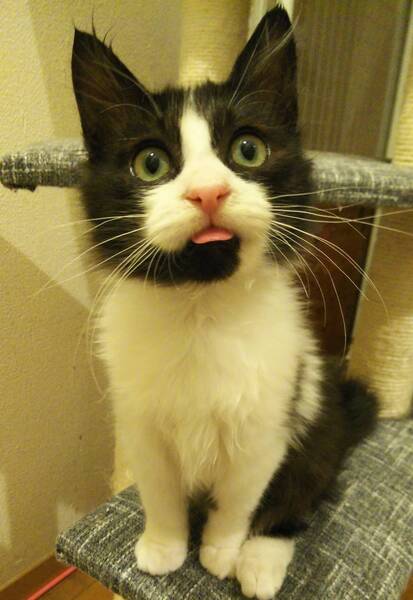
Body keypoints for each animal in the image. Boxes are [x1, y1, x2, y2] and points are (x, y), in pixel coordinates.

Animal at [71, 7, 378, 599]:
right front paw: (164, 548)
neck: (201, 311)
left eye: (248, 150)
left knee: (297, 498)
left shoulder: (267, 425)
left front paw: (219, 552)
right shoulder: (140, 421)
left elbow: (240, 500)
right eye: (150, 163)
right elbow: (160, 490)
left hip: (315, 424)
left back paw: (260, 564)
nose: (208, 191)